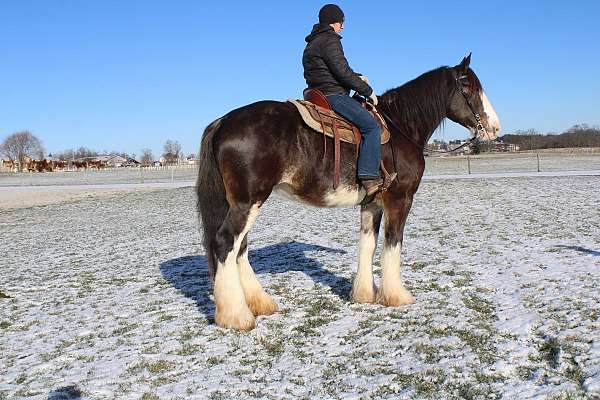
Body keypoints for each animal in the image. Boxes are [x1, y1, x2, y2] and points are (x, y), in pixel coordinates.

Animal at [197, 54, 502, 330]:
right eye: (469, 89)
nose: (495, 128)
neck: (400, 127)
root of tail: (223, 122)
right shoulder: (400, 199)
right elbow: (393, 244)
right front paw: (397, 296)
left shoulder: (372, 204)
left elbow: (368, 244)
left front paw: (365, 295)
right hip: (248, 202)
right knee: (225, 242)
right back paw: (236, 316)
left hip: (242, 203)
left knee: (239, 248)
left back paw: (261, 304)